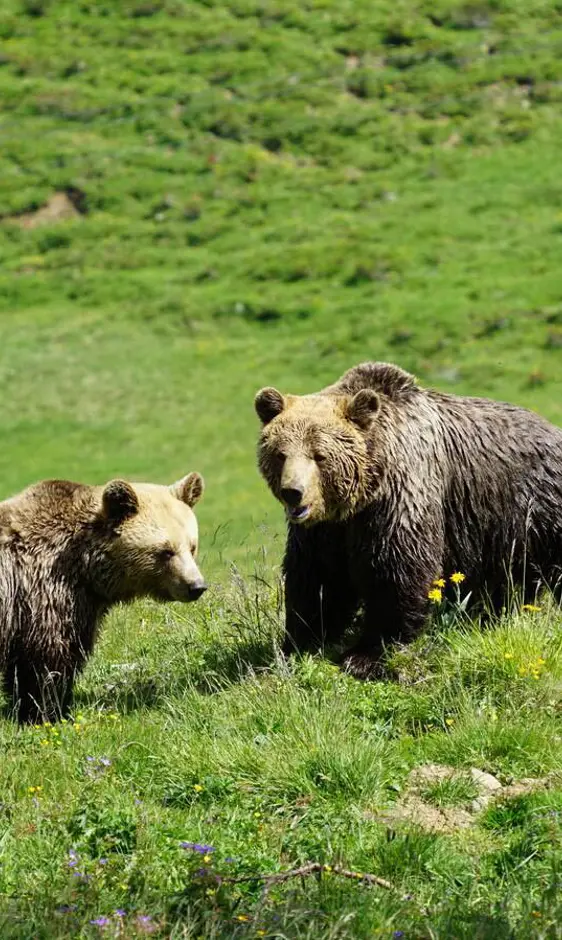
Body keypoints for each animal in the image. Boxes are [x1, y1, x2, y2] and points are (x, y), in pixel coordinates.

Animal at [0, 474, 206, 724]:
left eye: (192, 546)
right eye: (166, 551)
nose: (196, 586)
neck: (87, 570)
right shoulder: (45, 595)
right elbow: (46, 661)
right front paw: (46, 712)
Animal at [254, 360, 560, 676]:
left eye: (320, 455)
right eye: (280, 454)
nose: (293, 492)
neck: (360, 498)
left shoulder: (403, 495)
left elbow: (395, 569)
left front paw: (365, 655)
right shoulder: (325, 530)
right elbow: (316, 578)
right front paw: (298, 643)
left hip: (536, 509)